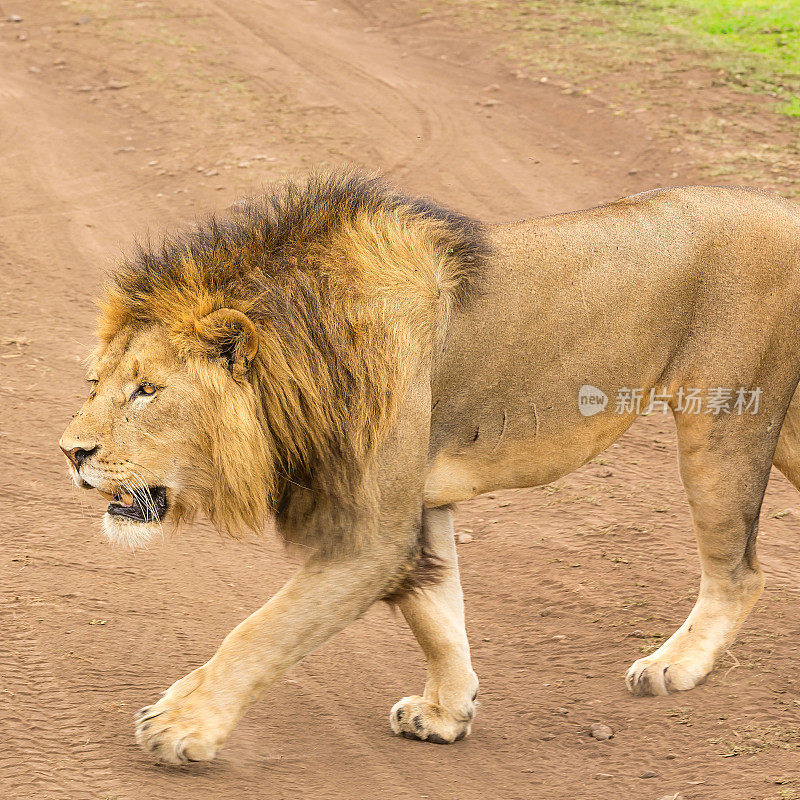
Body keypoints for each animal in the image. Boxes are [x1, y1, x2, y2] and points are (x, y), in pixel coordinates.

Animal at [59, 170, 800, 764]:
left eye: (147, 389)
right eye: (95, 384)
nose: (71, 453)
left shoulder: (370, 533)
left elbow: (265, 629)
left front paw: (181, 725)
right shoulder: (415, 506)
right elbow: (436, 615)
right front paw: (447, 712)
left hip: (724, 422)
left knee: (739, 573)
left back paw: (673, 665)